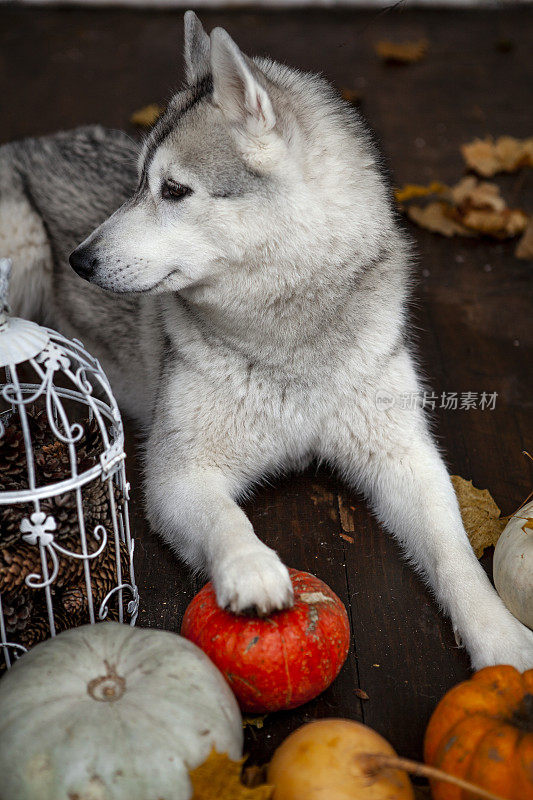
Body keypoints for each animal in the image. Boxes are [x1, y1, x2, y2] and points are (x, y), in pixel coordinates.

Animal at [1, 15, 532, 672]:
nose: (79, 260)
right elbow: (226, 517)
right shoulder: (178, 472)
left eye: (173, 190)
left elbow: (454, 552)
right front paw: (252, 568)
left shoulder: (403, 454)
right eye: (137, 184)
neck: (288, 340)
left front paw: (503, 640)